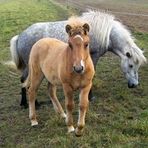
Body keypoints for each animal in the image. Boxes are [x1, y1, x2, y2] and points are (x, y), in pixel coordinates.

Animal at [10, 10, 146, 107]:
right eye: (131, 65)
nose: (134, 85)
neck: (107, 34)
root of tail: (20, 36)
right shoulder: (94, 56)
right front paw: (90, 96)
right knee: (26, 81)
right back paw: (28, 103)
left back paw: (30, 103)